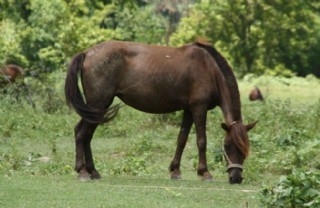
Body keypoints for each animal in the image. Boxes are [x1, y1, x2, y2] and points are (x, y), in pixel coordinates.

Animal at [65, 40, 258, 184]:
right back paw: (82, 172)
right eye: (227, 146)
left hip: (97, 109)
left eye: (245, 148)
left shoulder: (188, 110)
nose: (236, 178)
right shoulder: (199, 108)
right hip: (98, 104)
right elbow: (201, 141)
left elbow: (181, 140)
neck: (209, 69)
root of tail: (87, 53)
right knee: (82, 133)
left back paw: (93, 171)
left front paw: (175, 171)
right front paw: (205, 173)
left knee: (85, 134)